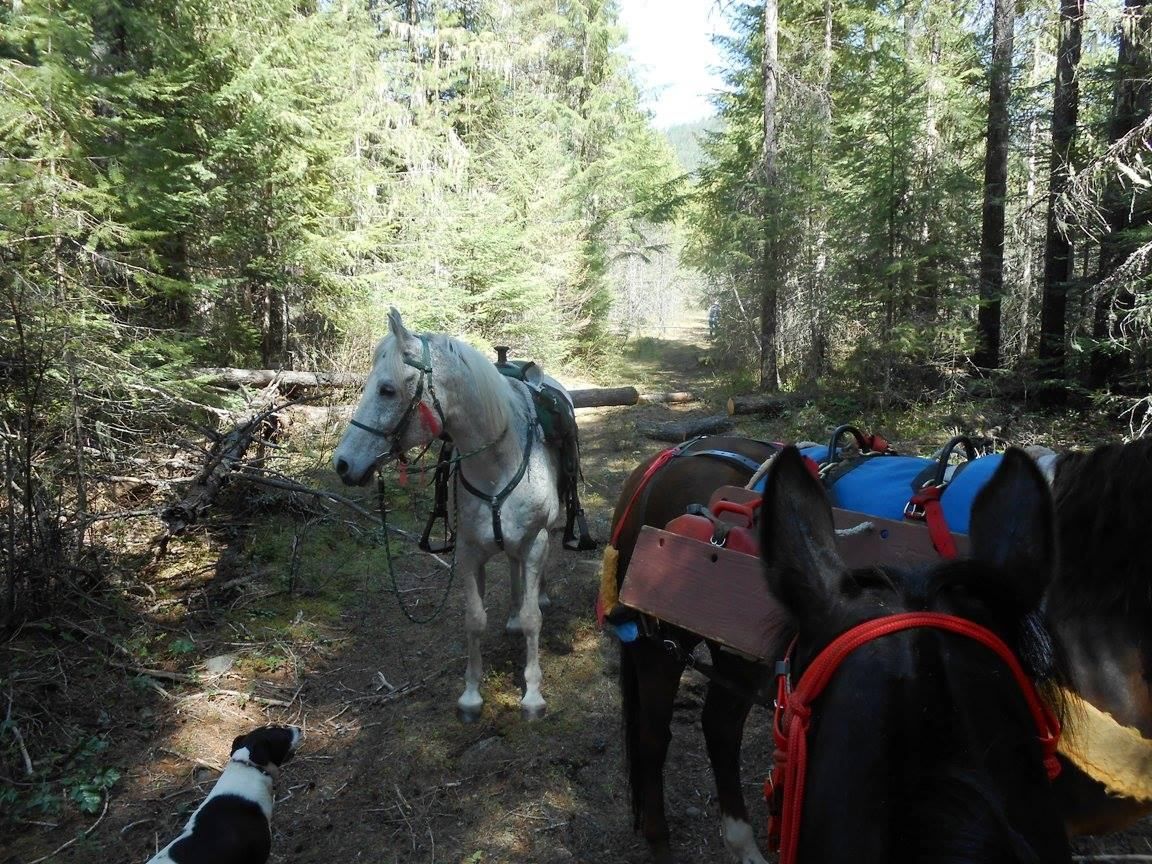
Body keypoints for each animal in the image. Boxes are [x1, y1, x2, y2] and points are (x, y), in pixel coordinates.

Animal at [334, 311, 566, 723]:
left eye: (387, 390)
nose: (343, 465)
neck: (499, 463)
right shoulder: (470, 551)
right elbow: (474, 620)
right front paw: (471, 696)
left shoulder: (535, 542)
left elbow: (532, 620)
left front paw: (533, 695)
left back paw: (538, 596)